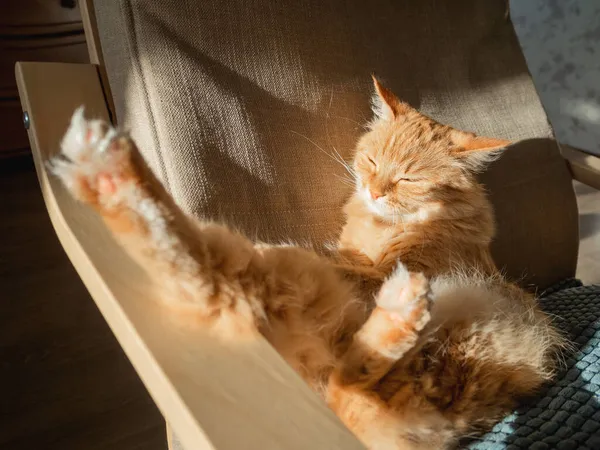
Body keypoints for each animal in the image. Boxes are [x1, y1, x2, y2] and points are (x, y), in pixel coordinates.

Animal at [50, 79, 564, 448]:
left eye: (409, 179)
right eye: (371, 161)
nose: (375, 191)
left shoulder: (386, 270)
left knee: (342, 381)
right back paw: (106, 169)